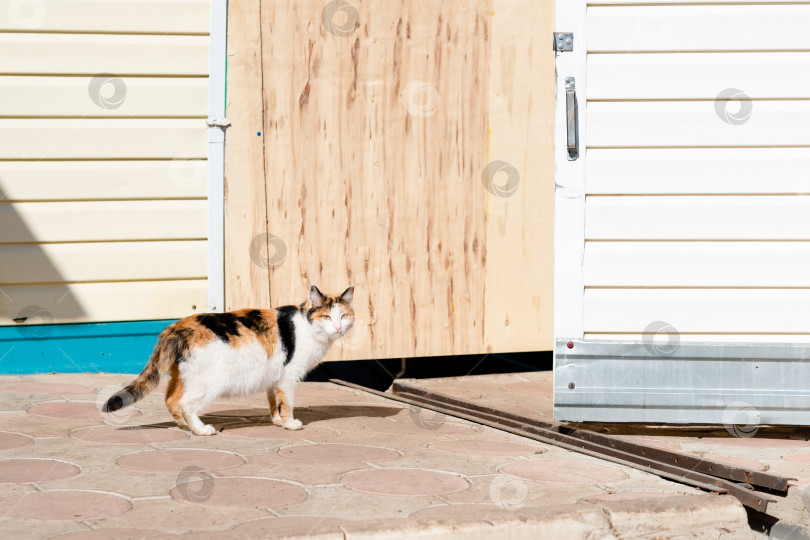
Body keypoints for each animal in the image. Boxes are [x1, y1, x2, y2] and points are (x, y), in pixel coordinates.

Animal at [102, 286, 354, 434]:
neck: (308, 326)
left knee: (171, 400)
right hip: (210, 382)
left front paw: (277, 421)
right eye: (327, 317)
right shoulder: (287, 377)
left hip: (184, 376)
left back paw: (185, 426)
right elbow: (287, 402)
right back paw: (201, 430)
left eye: (344, 316)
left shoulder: (273, 378)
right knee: (184, 404)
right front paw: (290, 424)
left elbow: (274, 402)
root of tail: (177, 326)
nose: (338, 327)